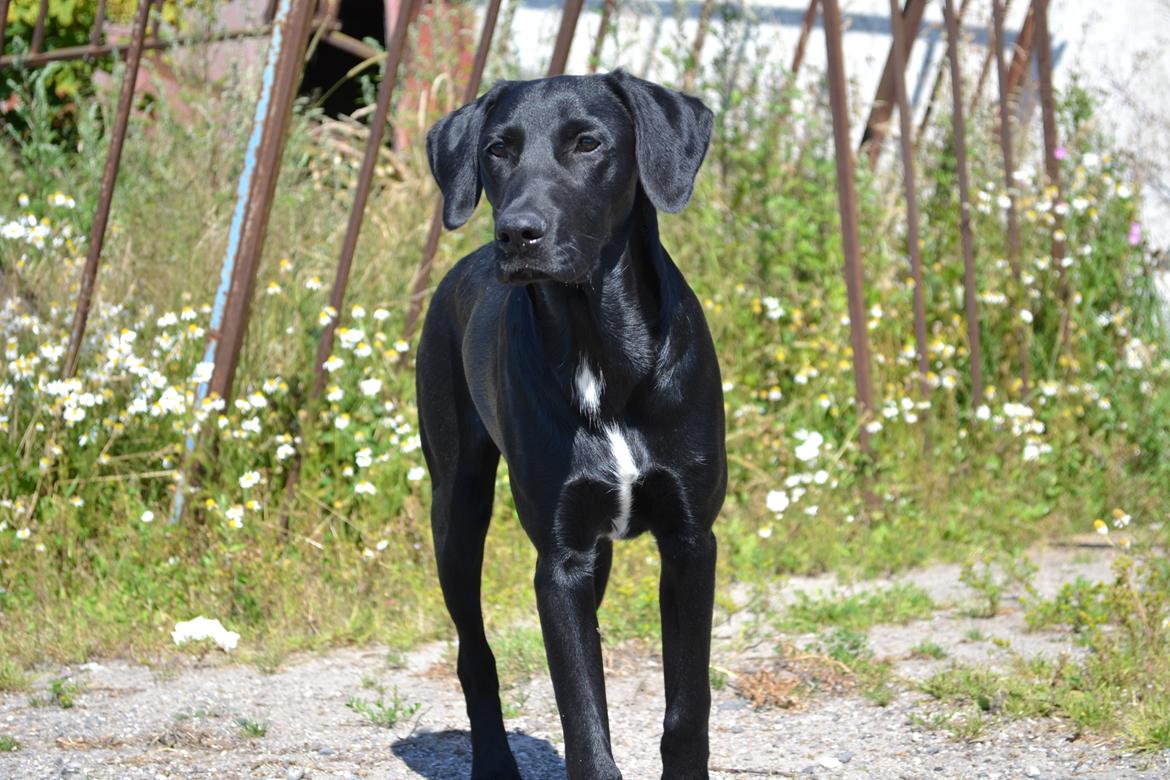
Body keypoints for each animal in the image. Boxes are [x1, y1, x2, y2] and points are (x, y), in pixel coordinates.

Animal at [416, 70, 725, 776]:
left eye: (587, 143)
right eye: (497, 149)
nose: (516, 234)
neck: (598, 347)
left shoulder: (691, 541)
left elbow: (687, 706)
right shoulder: (559, 559)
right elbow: (584, 721)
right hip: (457, 510)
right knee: (474, 654)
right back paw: (493, 759)